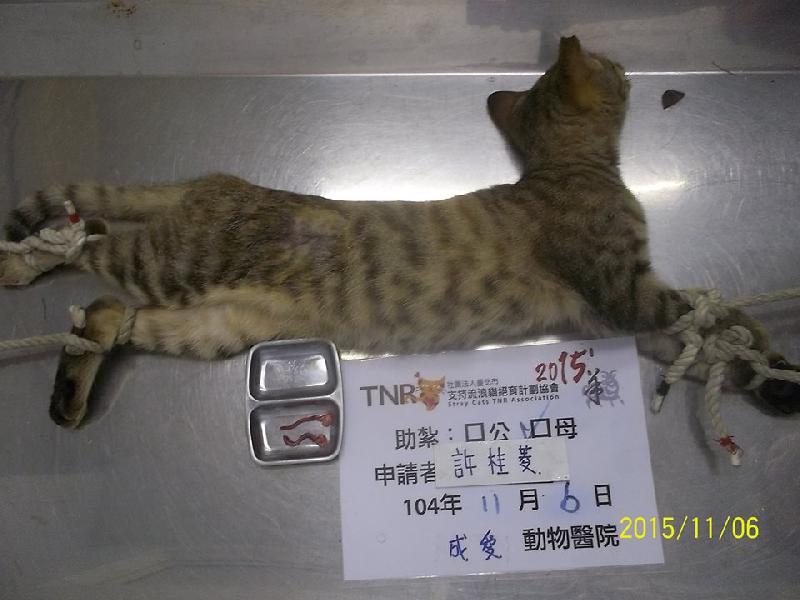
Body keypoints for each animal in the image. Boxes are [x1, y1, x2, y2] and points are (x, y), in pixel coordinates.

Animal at [1, 36, 797, 428]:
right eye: (608, 66)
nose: (628, 67)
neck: (566, 166)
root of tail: (214, 179)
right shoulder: (623, 289)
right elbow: (712, 312)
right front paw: (770, 357)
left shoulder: (606, 313)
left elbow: (704, 340)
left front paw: (766, 375)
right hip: (171, 261)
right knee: (90, 247)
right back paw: (19, 265)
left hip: (216, 324)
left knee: (107, 310)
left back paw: (69, 396)